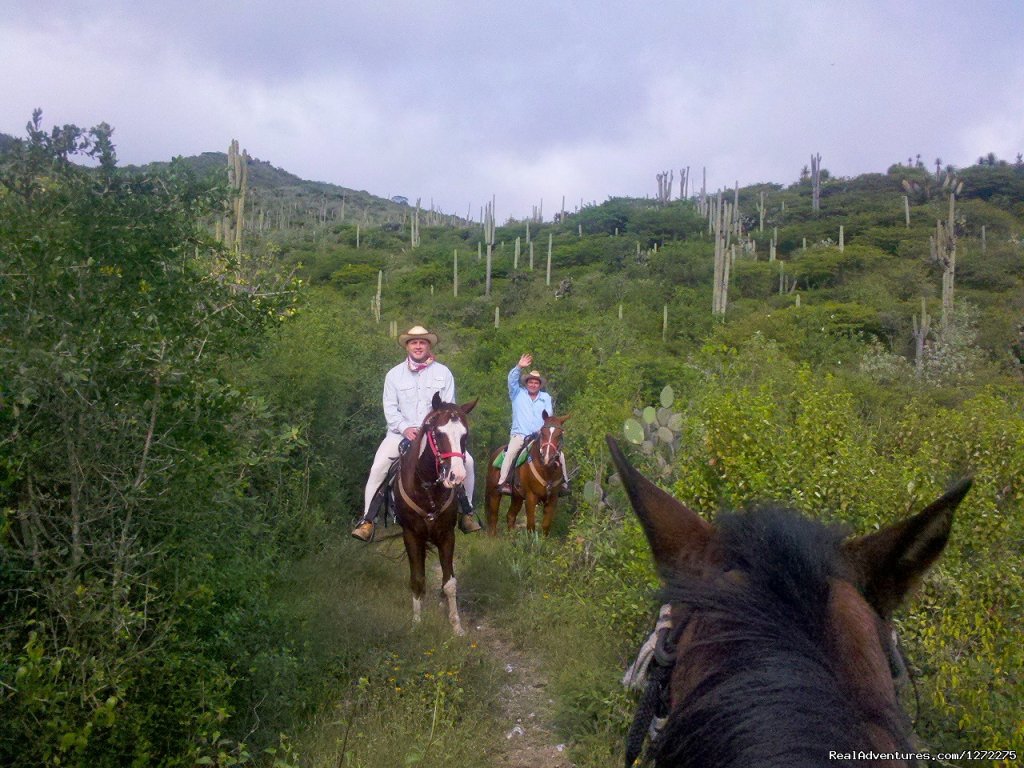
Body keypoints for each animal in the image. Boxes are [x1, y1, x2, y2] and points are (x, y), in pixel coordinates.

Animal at [393, 393, 477, 634]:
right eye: (439, 433)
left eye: (465, 435)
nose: (456, 475)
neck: (427, 488)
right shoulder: (411, 536)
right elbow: (417, 579)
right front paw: (416, 623)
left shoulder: (446, 535)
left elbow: (449, 583)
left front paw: (456, 625)